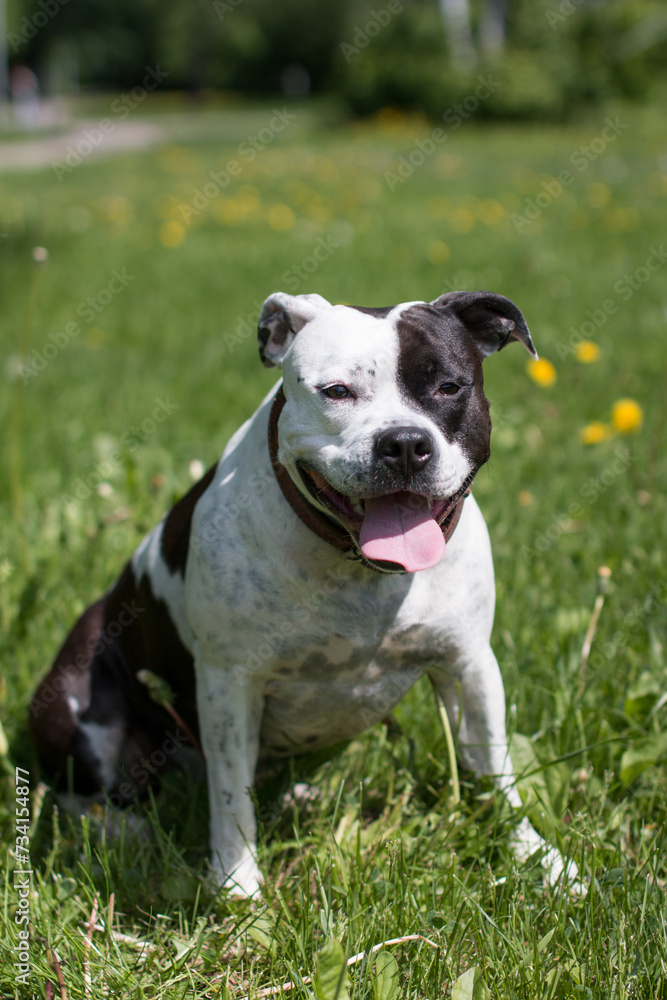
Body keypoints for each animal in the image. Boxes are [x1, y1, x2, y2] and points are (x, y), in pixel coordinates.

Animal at [30, 292, 576, 900]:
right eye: (336, 391)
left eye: (449, 387)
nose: (404, 443)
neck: (359, 569)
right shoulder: (230, 684)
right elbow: (230, 797)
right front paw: (238, 887)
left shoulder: (470, 664)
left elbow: (495, 769)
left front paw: (535, 857)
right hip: (71, 701)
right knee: (79, 795)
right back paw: (123, 830)